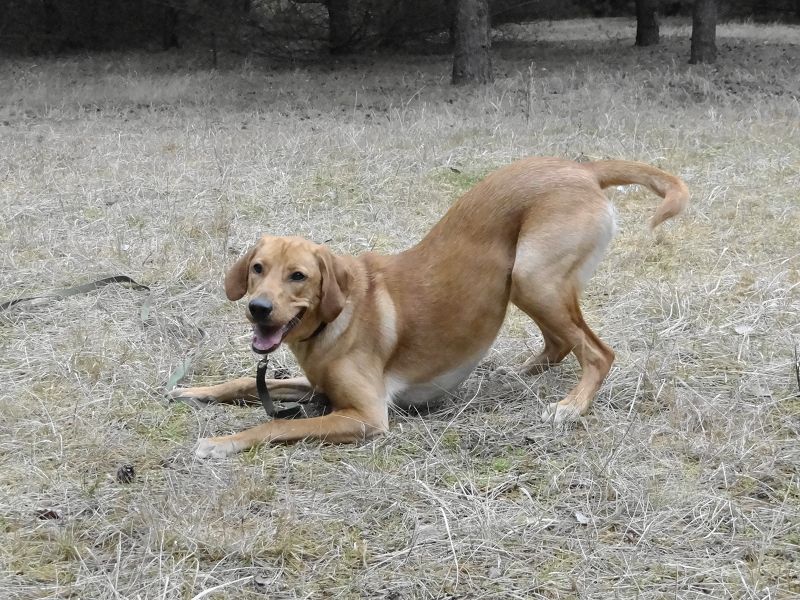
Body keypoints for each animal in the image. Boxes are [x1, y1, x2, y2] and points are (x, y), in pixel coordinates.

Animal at [171, 157, 688, 458]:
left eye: (298, 276)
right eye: (258, 268)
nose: (257, 309)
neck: (331, 324)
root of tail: (581, 167)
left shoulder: (365, 415)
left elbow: (273, 425)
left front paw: (220, 443)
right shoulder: (317, 387)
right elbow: (247, 382)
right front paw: (194, 390)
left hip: (533, 279)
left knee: (597, 352)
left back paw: (571, 406)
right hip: (529, 285)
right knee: (562, 342)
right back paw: (523, 373)